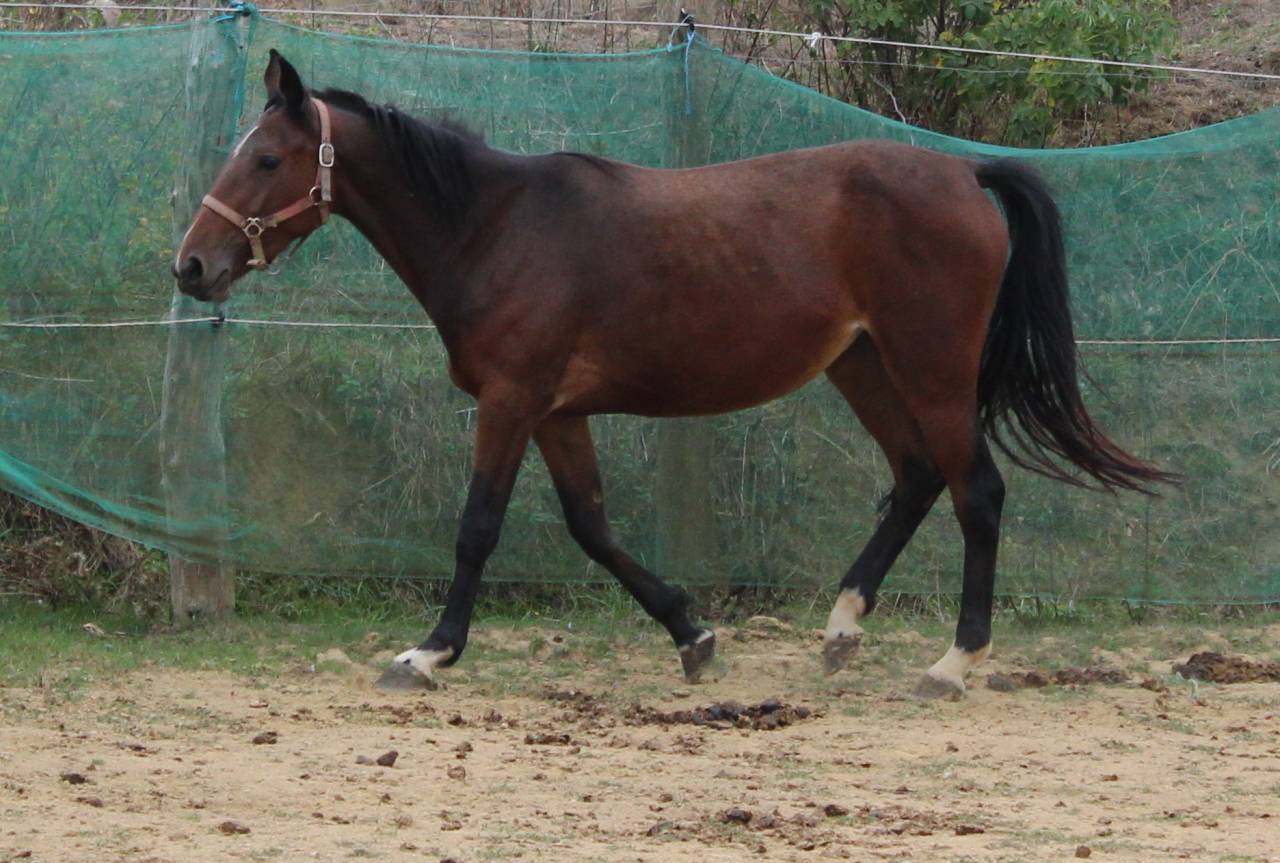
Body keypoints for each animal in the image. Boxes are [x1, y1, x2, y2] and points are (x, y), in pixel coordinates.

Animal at [174, 50, 1174, 698]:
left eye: (266, 158)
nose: (191, 266)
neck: (495, 228)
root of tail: (966, 176)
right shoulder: (556, 413)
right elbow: (591, 527)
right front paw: (692, 633)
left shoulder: (511, 402)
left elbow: (478, 529)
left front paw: (429, 653)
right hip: (863, 368)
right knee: (918, 478)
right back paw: (842, 629)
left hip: (932, 371)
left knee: (978, 493)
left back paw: (953, 662)